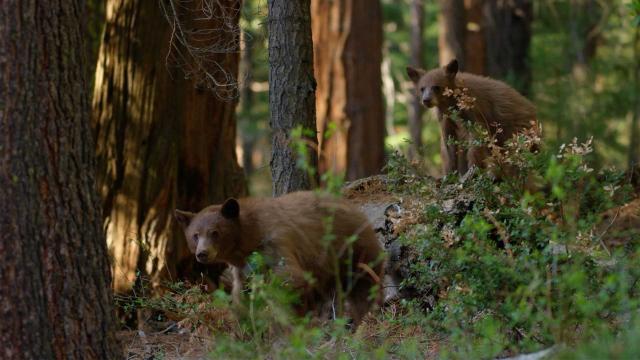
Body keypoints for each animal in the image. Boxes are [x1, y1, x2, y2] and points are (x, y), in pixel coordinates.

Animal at [174, 191, 384, 326]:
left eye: (215, 232)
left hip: (353, 249)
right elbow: (243, 293)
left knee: (363, 285)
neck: (249, 237)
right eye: (195, 235)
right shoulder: (243, 269)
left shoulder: (275, 242)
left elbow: (290, 279)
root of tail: (356, 208)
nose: (202, 253)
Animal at [408, 59, 536, 176]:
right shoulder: (445, 117)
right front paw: (450, 174)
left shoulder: (472, 110)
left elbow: (476, 138)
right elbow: (449, 144)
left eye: (436, 87)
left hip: (516, 131)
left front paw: (472, 171)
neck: (450, 103)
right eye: (422, 88)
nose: (426, 100)